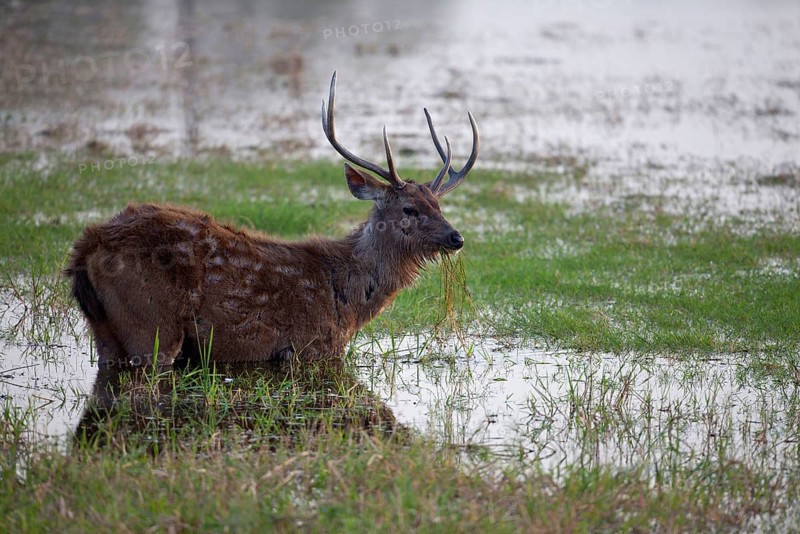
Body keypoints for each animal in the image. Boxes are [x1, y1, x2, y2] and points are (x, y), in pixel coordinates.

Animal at [65, 72, 479, 369]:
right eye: (409, 208)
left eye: (439, 205)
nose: (456, 238)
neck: (348, 302)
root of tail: (86, 248)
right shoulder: (308, 348)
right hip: (150, 324)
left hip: (107, 330)